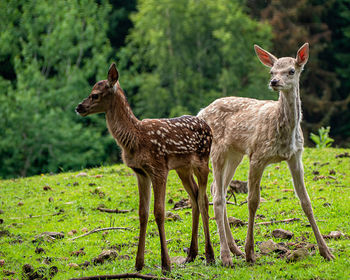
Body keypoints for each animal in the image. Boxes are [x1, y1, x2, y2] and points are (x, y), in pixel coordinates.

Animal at [75, 63, 215, 272]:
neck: (135, 139)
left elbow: (159, 212)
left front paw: (165, 264)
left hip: (203, 161)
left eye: (95, 95)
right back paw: (191, 254)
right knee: (195, 197)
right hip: (183, 168)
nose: (79, 107)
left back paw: (210, 256)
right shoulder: (140, 172)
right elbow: (143, 213)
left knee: (204, 199)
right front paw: (138, 264)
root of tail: (208, 126)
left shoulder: (159, 168)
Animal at [198, 42, 334, 266]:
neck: (284, 130)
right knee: (217, 196)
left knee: (219, 189)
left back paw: (233, 249)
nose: (274, 81)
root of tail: (200, 113)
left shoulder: (296, 156)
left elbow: (305, 201)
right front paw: (250, 253)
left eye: (291, 70)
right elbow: (253, 201)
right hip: (217, 149)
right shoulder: (258, 154)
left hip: (235, 154)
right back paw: (226, 256)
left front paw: (326, 252)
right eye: (272, 71)